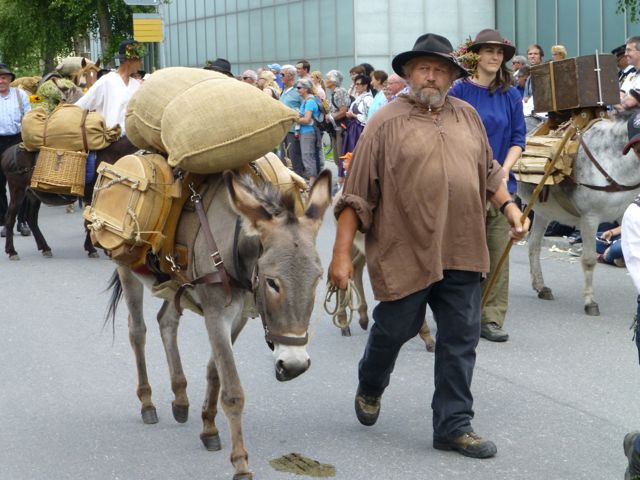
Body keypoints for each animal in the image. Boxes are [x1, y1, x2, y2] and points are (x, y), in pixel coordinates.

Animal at [106, 169, 332, 480]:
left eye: (318, 278)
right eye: (272, 282)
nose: (294, 365)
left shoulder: (238, 317)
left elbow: (215, 371)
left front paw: (209, 428)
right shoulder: (216, 314)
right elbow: (233, 391)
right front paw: (241, 464)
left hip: (176, 287)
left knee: (166, 321)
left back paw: (180, 399)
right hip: (126, 268)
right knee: (137, 331)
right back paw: (147, 402)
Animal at [517, 110, 640, 315]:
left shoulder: (625, 213)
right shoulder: (590, 217)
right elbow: (589, 260)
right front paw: (590, 302)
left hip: (543, 210)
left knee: (533, 245)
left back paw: (541, 287)